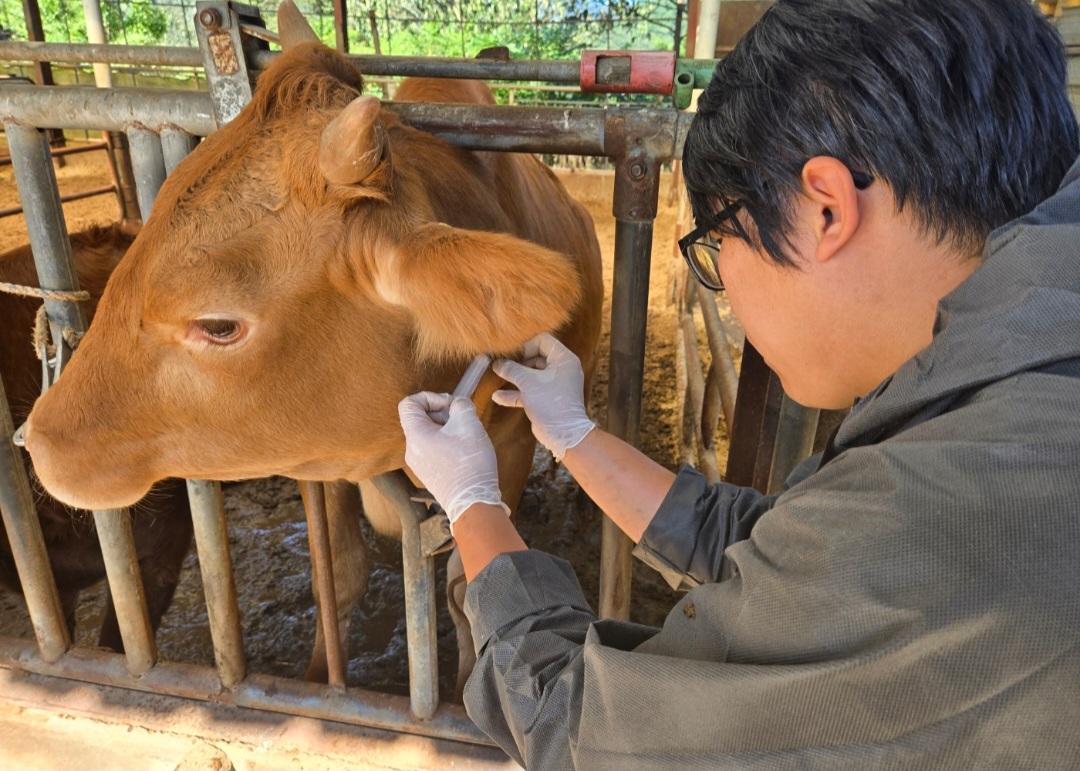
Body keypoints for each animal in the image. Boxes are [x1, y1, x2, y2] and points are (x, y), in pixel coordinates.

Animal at [23, 1, 609, 691]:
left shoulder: (511, 447)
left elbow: (469, 587)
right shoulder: (320, 454)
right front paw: (318, 674)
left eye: (218, 326)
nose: (38, 440)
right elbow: (341, 569)